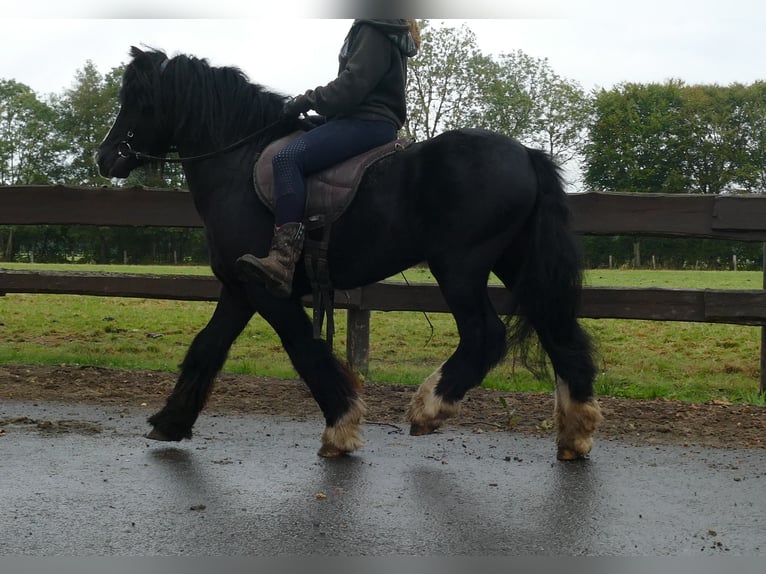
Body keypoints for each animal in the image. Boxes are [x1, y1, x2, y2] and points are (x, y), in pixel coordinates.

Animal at [96, 47, 604, 462]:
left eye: (138, 98)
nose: (105, 157)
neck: (239, 164)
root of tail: (525, 154)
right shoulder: (240, 289)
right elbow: (207, 347)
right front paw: (170, 422)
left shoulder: (270, 293)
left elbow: (304, 351)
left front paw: (340, 427)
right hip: (516, 264)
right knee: (559, 331)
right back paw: (575, 432)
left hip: (460, 267)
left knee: (486, 335)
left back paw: (428, 408)